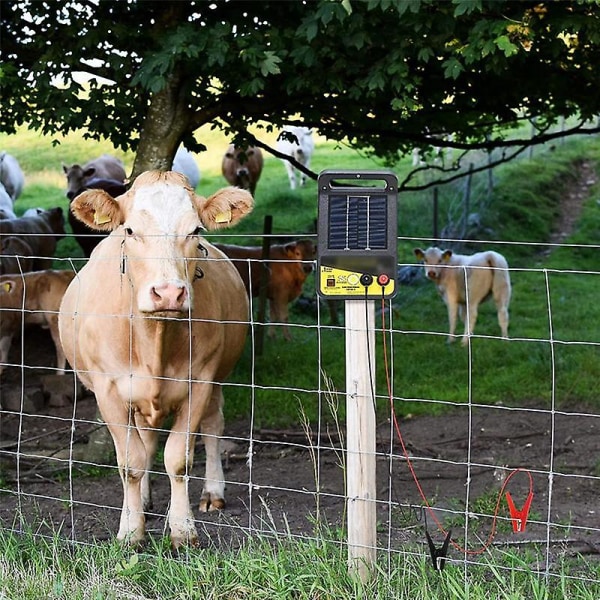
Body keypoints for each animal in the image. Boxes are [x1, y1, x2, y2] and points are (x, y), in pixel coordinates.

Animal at [61, 170, 255, 548]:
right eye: (130, 230)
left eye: (195, 231)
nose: (168, 293)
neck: (156, 340)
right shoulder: (108, 391)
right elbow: (131, 461)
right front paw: (130, 529)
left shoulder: (200, 382)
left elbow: (179, 458)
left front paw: (182, 529)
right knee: (146, 441)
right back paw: (146, 501)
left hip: (218, 378)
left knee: (213, 426)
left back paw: (212, 492)